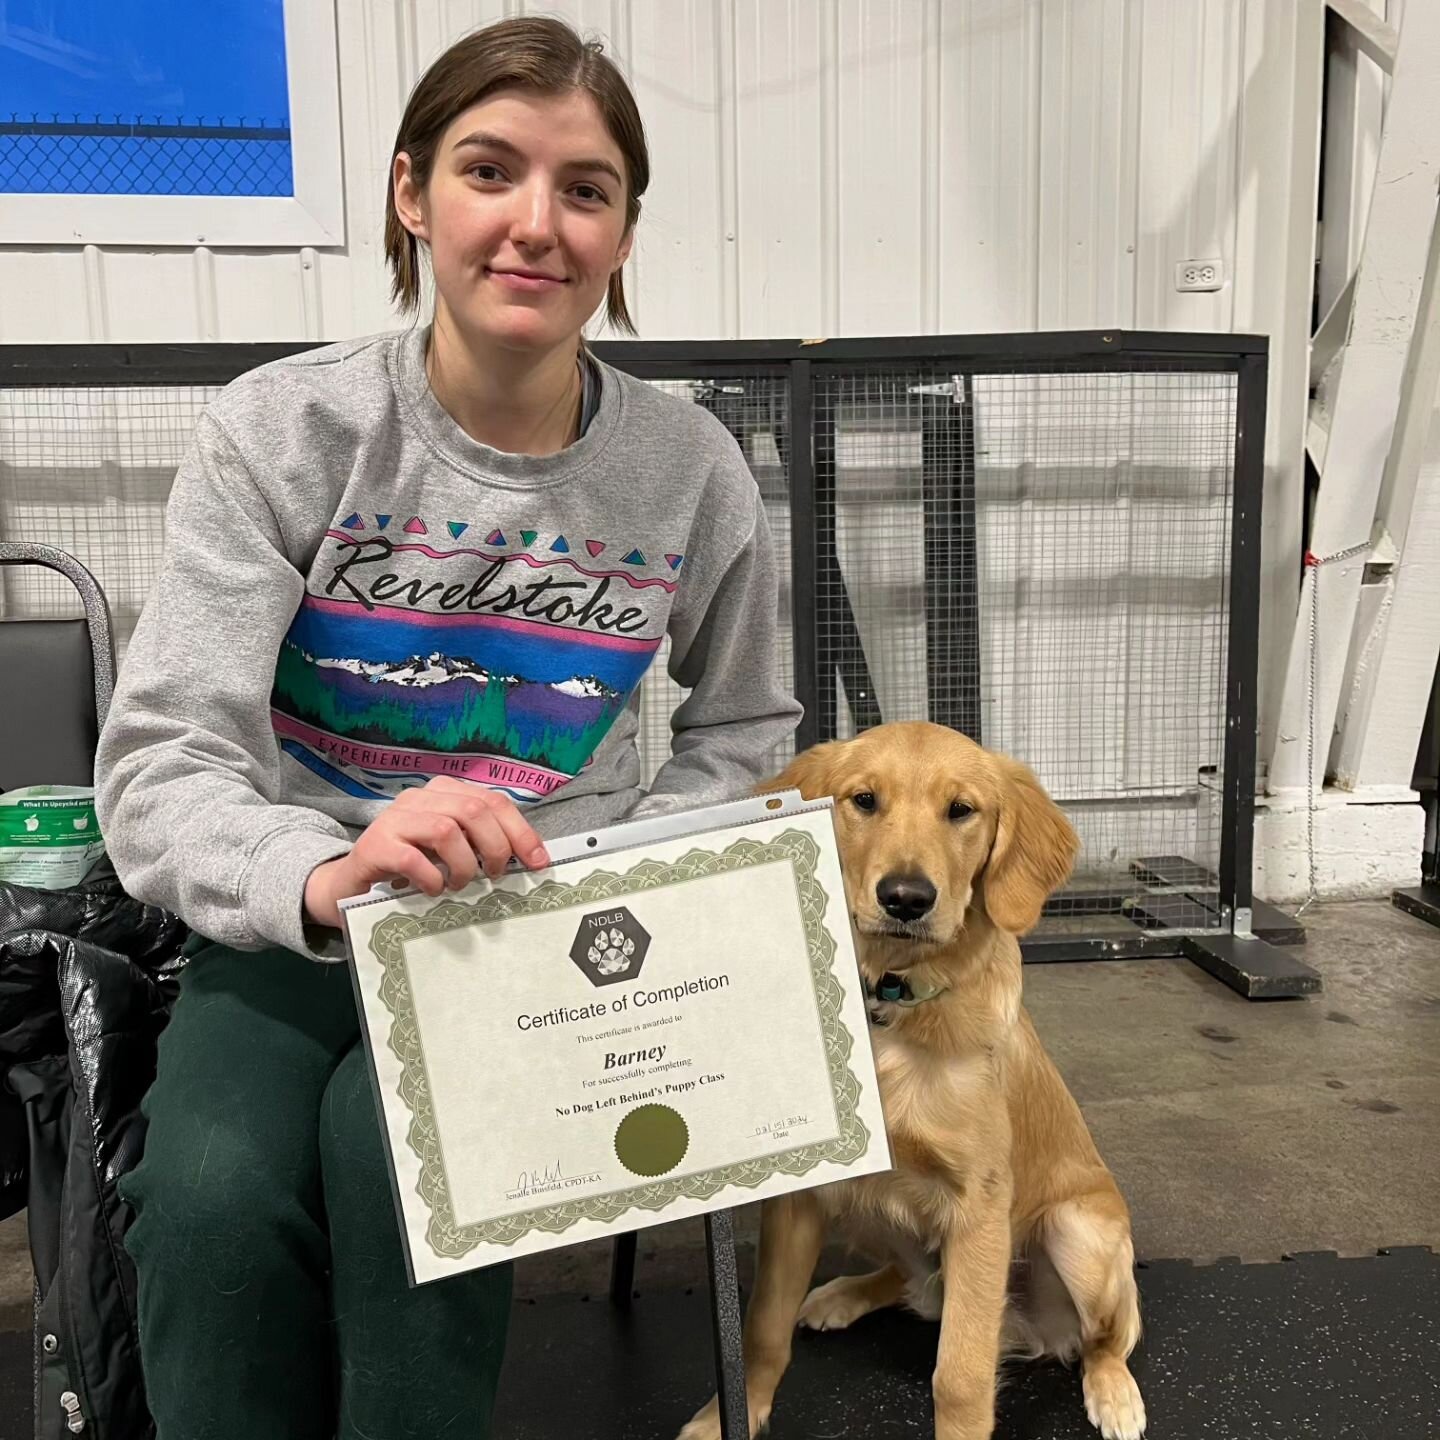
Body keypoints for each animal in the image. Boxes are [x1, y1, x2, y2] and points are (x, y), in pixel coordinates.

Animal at [676, 725, 1146, 1440]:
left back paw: (1114, 1392)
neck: (891, 1002)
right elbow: (762, 1329)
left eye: (962, 810)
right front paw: (727, 1415)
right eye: (864, 800)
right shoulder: (804, 1197)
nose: (905, 897)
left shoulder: (980, 1209)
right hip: (870, 1206)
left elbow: (959, 1376)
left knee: (1107, 1338)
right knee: (907, 1281)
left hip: (1079, 1235)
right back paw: (841, 1294)